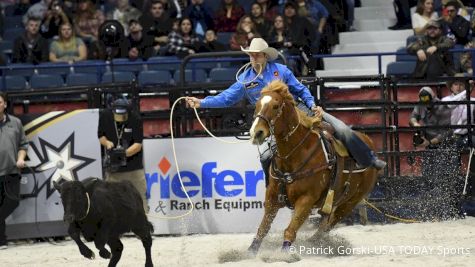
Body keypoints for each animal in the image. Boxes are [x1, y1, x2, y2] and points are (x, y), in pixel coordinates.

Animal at [249, 80, 380, 254]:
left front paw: (284, 255)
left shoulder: (306, 200)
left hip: (350, 202)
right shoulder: (272, 197)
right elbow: (263, 228)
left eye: (276, 106)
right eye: (257, 105)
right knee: (325, 224)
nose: (256, 133)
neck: (295, 155)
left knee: (328, 226)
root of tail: (369, 142)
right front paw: (250, 251)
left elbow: (290, 230)